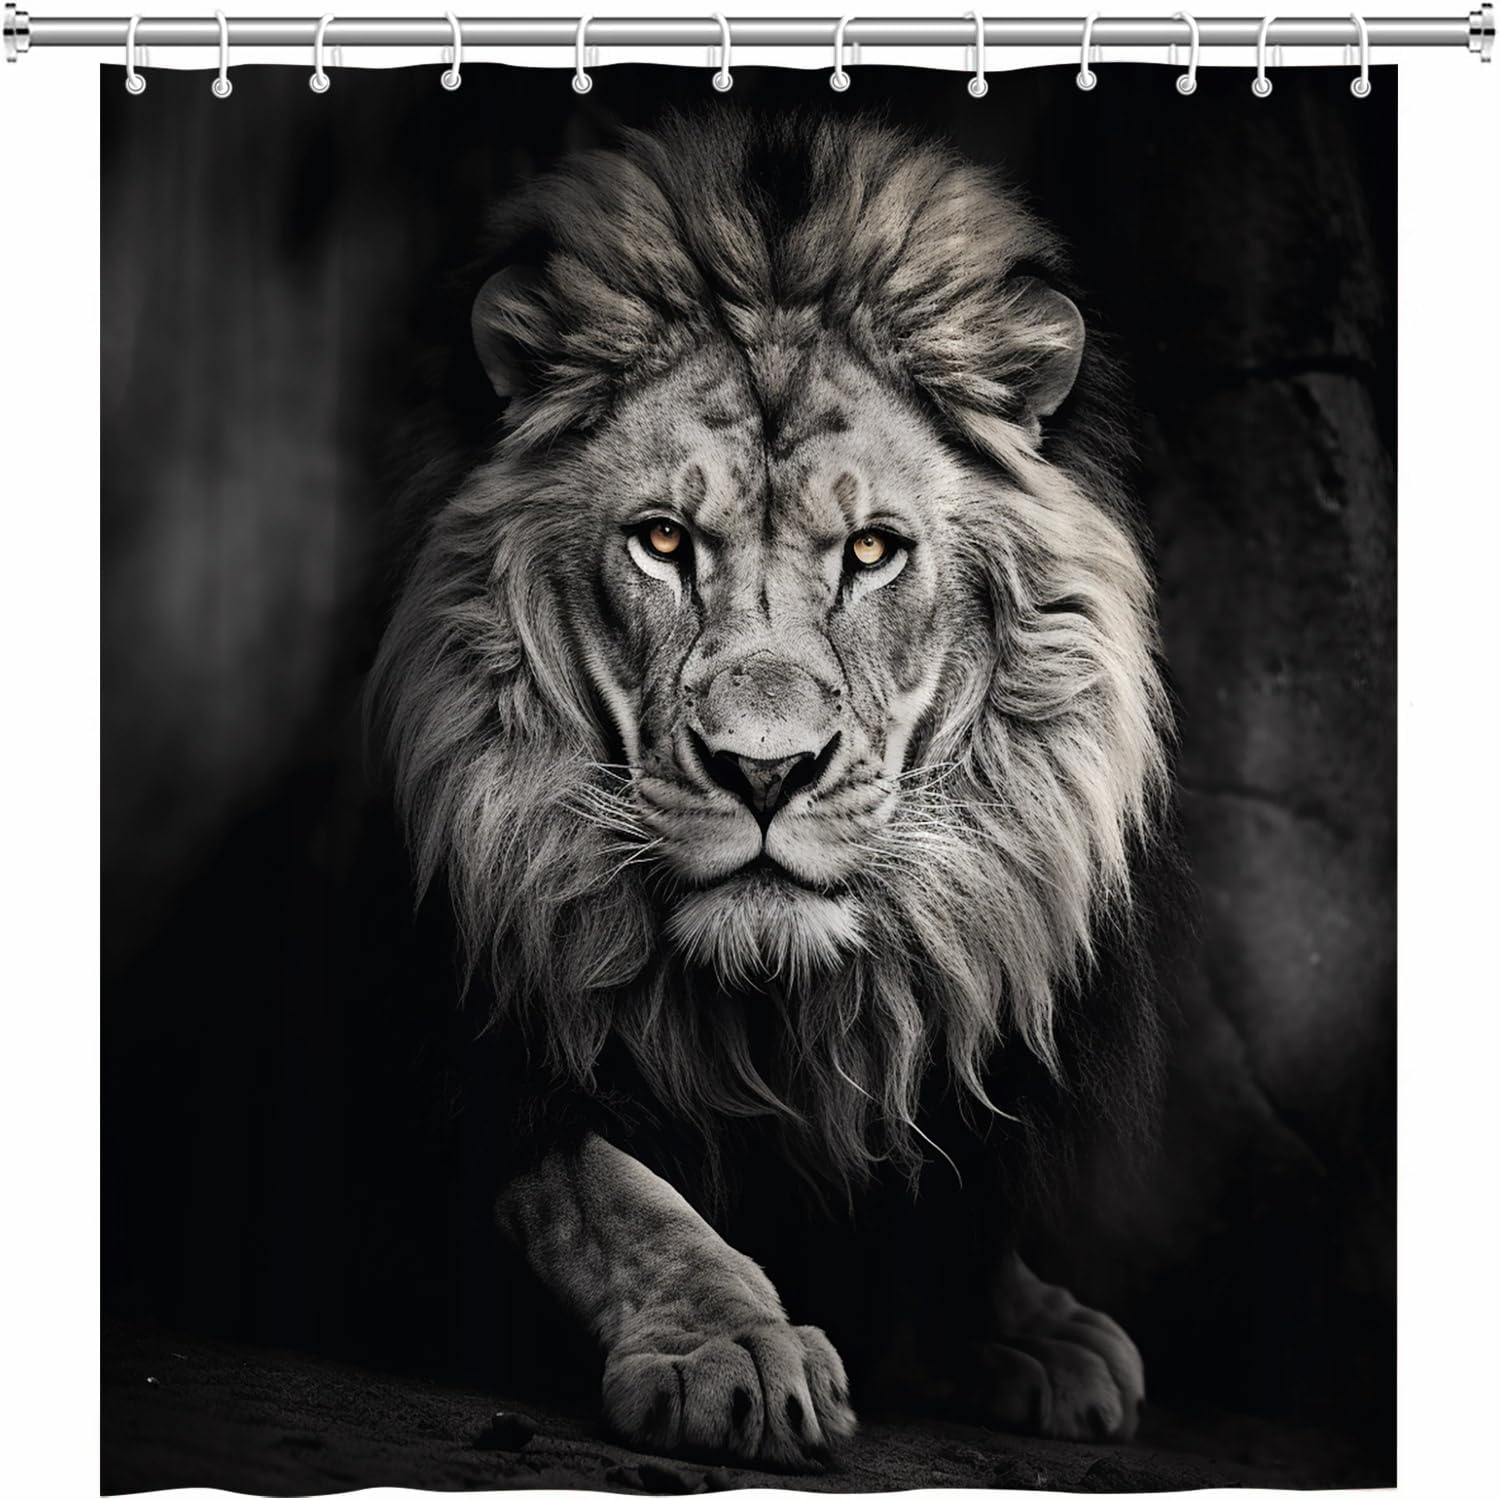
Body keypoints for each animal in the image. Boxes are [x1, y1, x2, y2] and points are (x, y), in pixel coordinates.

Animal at [370, 112, 1175, 1469]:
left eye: (872, 552)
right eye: (662, 542)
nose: (764, 771)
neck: (770, 1018)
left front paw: (1034, 1332)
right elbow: (608, 1190)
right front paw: (731, 1348)